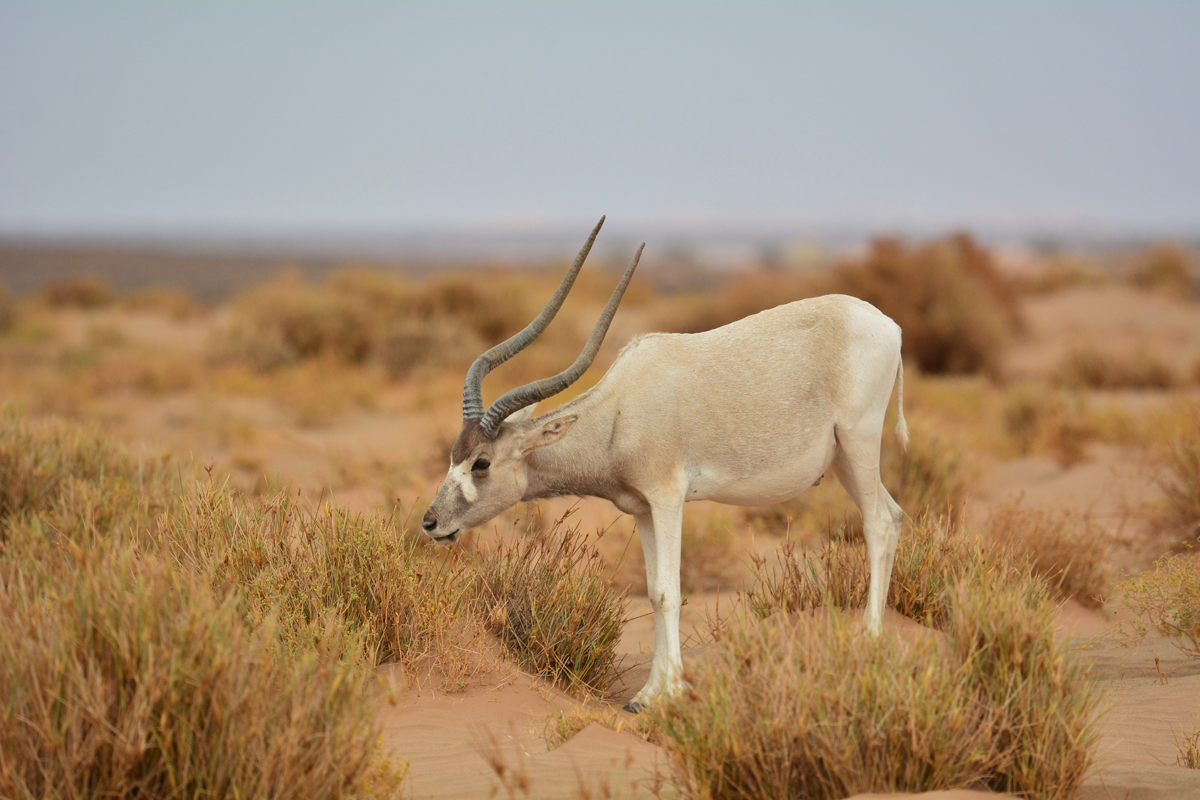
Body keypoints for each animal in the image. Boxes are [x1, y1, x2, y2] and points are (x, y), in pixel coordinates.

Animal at [427, 219, 902, 714]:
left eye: (481, 463)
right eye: (453, 456)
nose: (431, 522)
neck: (619, 411)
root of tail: (887, 325)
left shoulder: (668, 498)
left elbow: (669, 591)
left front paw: (670, 692)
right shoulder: (641, 509)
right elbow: (654, 592)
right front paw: (648, 693)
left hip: (860, 441)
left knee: (879, 523)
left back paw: (869, 640)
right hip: (844, 457)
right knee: (894, 515)